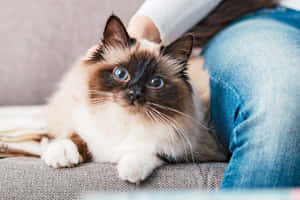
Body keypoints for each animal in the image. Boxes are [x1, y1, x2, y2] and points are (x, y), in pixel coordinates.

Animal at [41, 14, 229, 184]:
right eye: (120, 74)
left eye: (155, 83)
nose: (134, 94)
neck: (124, 120)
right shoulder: (83, 122)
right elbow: (74, 136)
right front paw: (61, 156)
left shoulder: (186, 147)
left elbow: (149, 152)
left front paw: (130, 171)